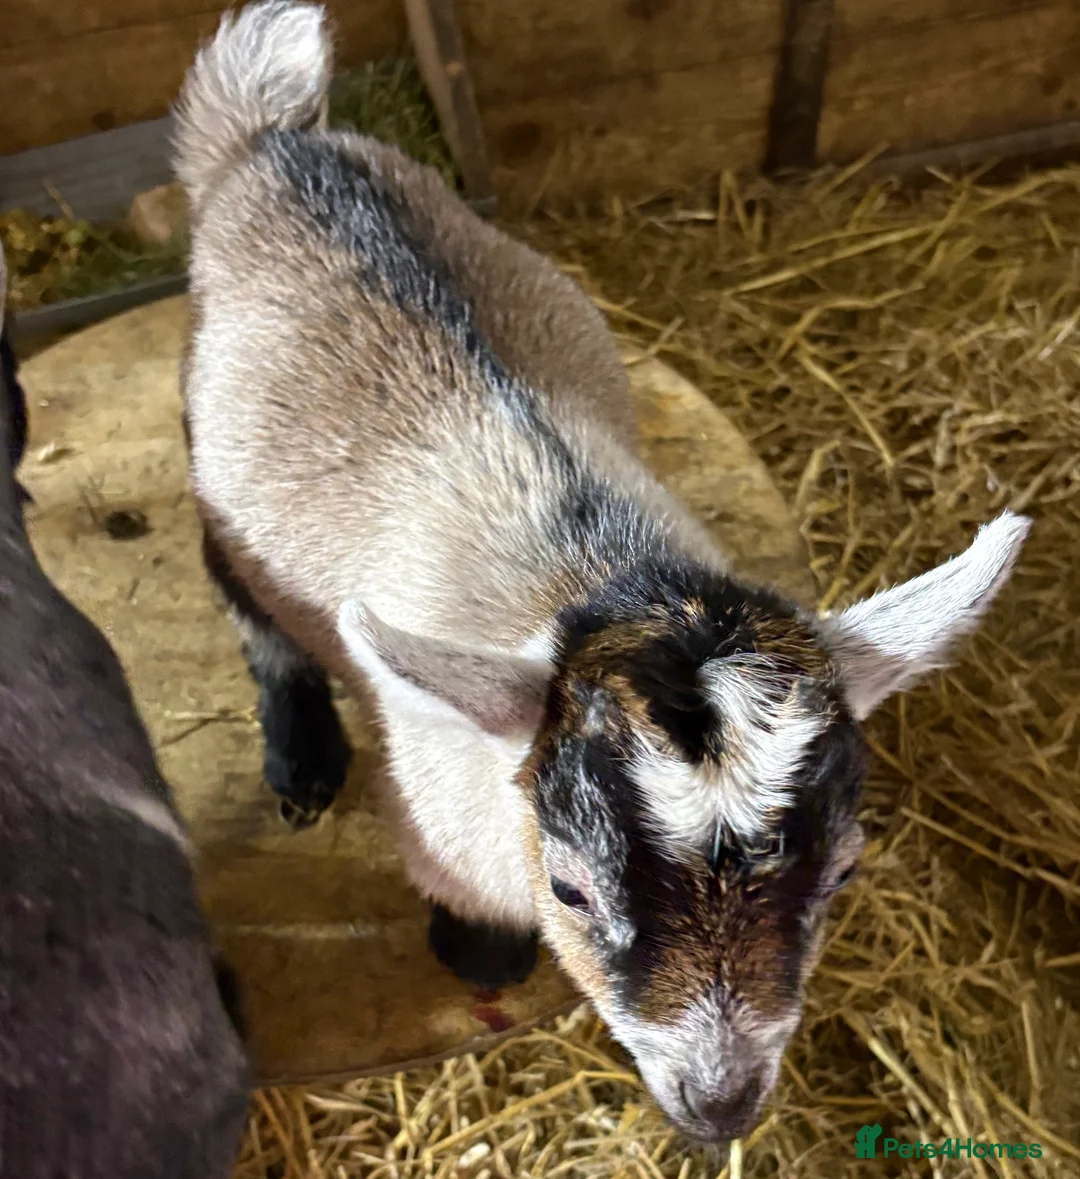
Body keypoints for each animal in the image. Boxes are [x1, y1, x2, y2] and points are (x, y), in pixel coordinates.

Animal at [173, 1, 1029, 1143]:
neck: (607, 572)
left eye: (844, 871)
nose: (721, 1103)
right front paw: (480, 955)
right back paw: (301, 756)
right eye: (571, 892)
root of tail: (272, 140)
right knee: (242, 593)